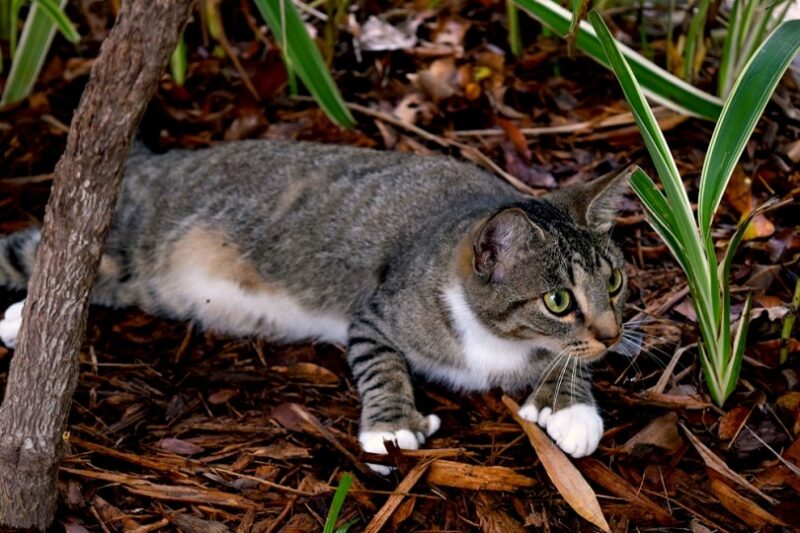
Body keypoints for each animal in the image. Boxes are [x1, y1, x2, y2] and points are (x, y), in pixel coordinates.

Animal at [0, 138, 628, 470]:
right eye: (558, 300)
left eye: (616, 282)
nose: (614, 335)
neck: (495, 341)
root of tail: (148, 161)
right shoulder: (375, 315)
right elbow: (382, 364)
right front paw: (394, 427)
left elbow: (570, 362)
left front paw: (570, 406)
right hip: (122, 236)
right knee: (40, 254)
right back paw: (26, 315)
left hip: (137, 280)